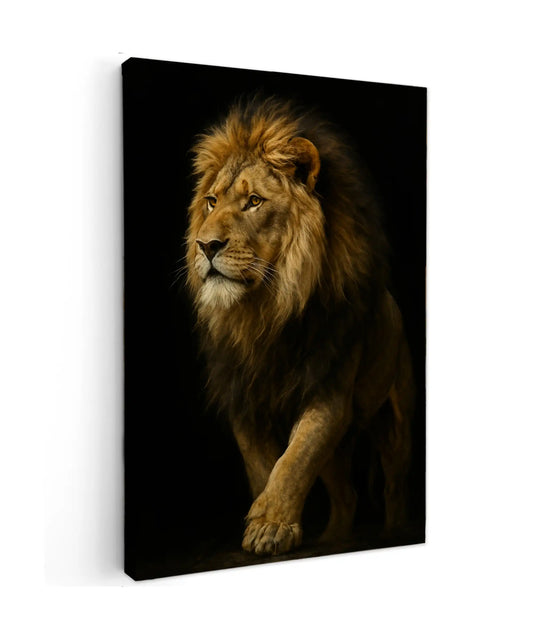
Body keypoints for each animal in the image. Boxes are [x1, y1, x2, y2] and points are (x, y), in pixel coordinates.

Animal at [186, 97, 415, 556]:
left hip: (395, 420)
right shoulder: (244, 396)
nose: (206, 245)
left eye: (254, 201)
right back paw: (334, 540)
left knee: (394, 484)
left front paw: (270, 527)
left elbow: (294, 459)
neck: (266, 311)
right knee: (346, 494)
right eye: (212, 201)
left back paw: (393, 533)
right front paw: (265, 521)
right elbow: (263, 465)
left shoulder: (330, 392)